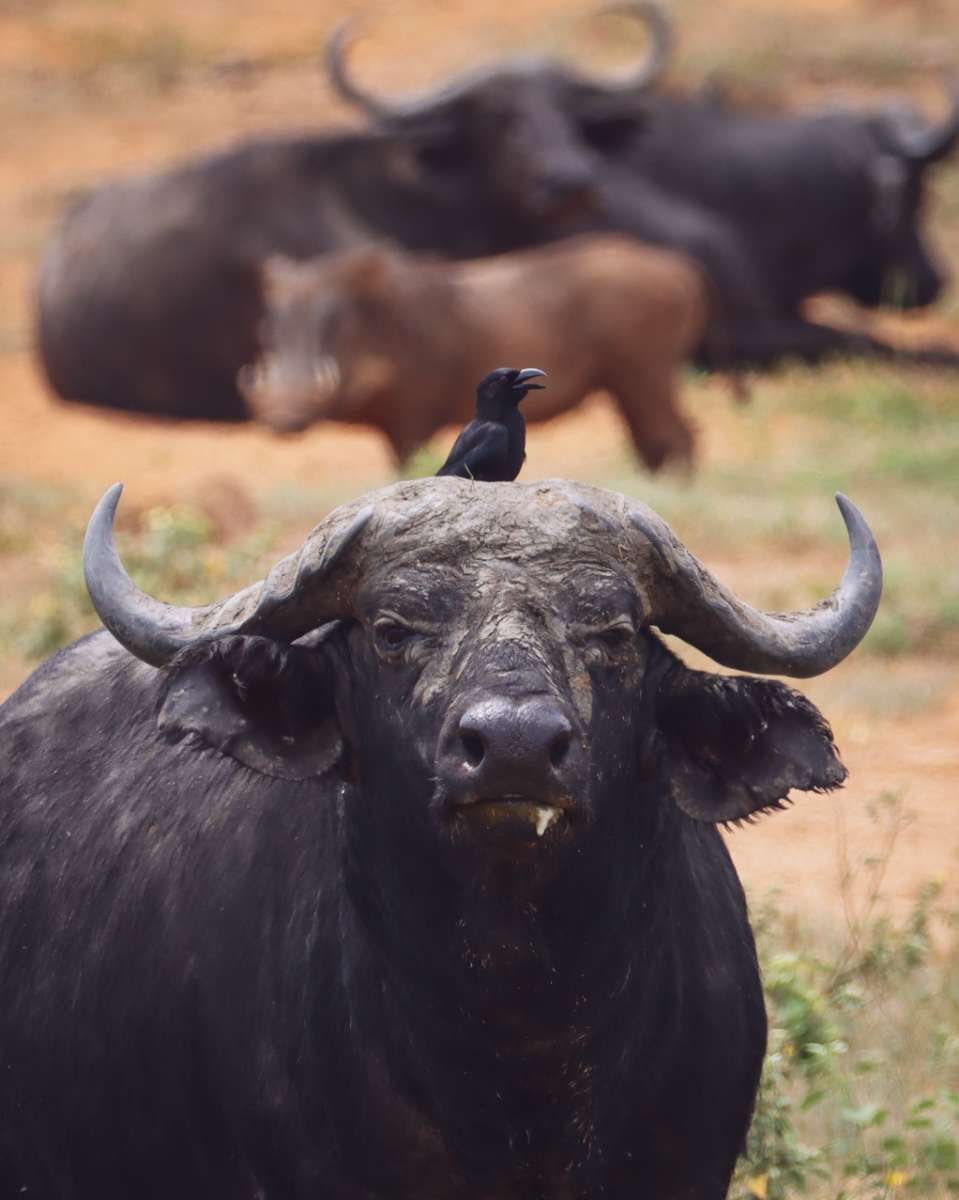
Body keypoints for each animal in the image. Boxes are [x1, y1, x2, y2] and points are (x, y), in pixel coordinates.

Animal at [240, 235, 713, 471]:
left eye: (335, 319)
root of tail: (684, 271)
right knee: (655, 444)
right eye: (270, 322)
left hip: (646, 372)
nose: (281, 418)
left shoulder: (413, 417)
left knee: (677, 438)